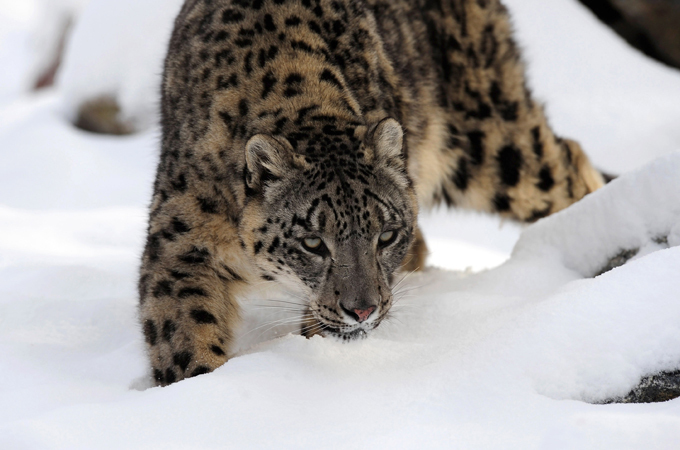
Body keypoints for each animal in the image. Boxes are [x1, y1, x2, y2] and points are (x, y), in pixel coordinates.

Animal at [139, 0, 607, 386]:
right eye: (313, 242)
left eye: (386, 235)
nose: (362, 309)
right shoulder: (183, 241)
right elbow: (182, 328)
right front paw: (200, 383)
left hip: (494, 147)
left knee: (569, 165)